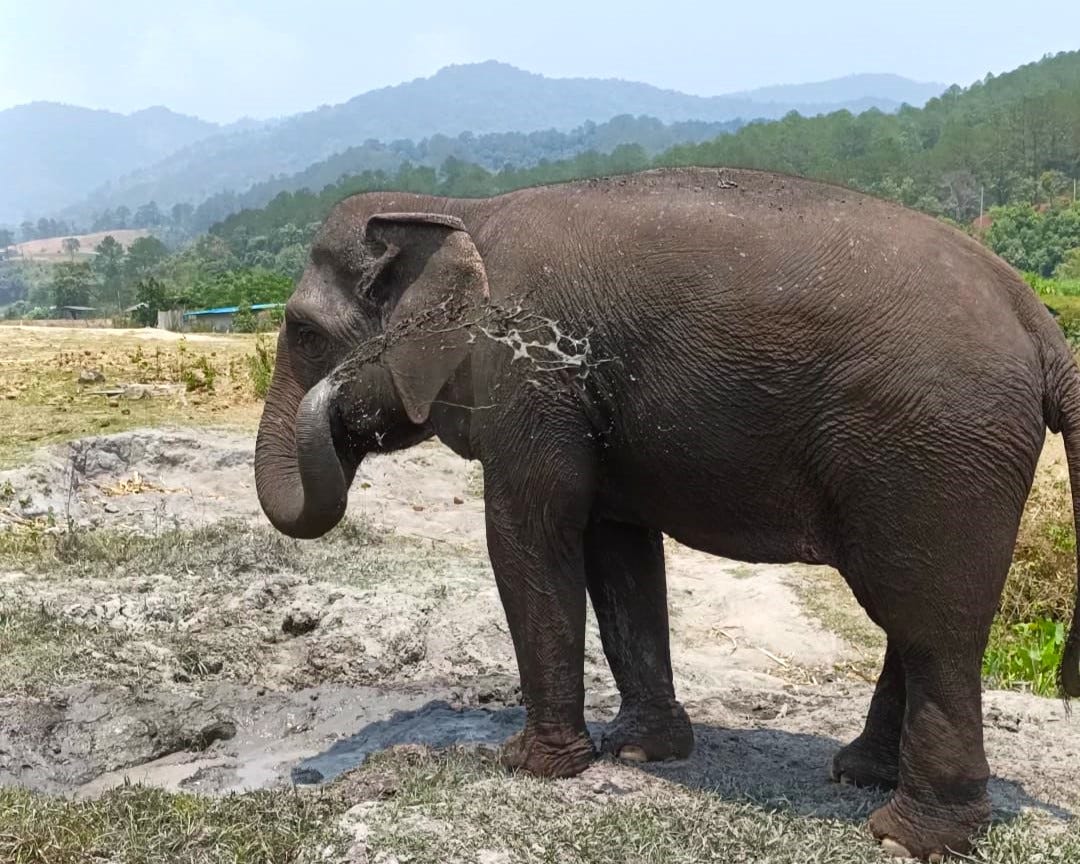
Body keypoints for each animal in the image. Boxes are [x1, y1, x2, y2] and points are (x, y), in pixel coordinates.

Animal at [254, 166, 1080, 860]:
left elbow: (528, 536)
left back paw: (908, 834)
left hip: (935, 448)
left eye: (304, 332)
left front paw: (530, 766)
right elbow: (620, 552)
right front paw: (640, 753)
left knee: (932, 625)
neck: (457, 209)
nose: (339, 399)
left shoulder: (529, 383)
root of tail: (1043, 327)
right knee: (912, 622)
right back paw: (859, 775)